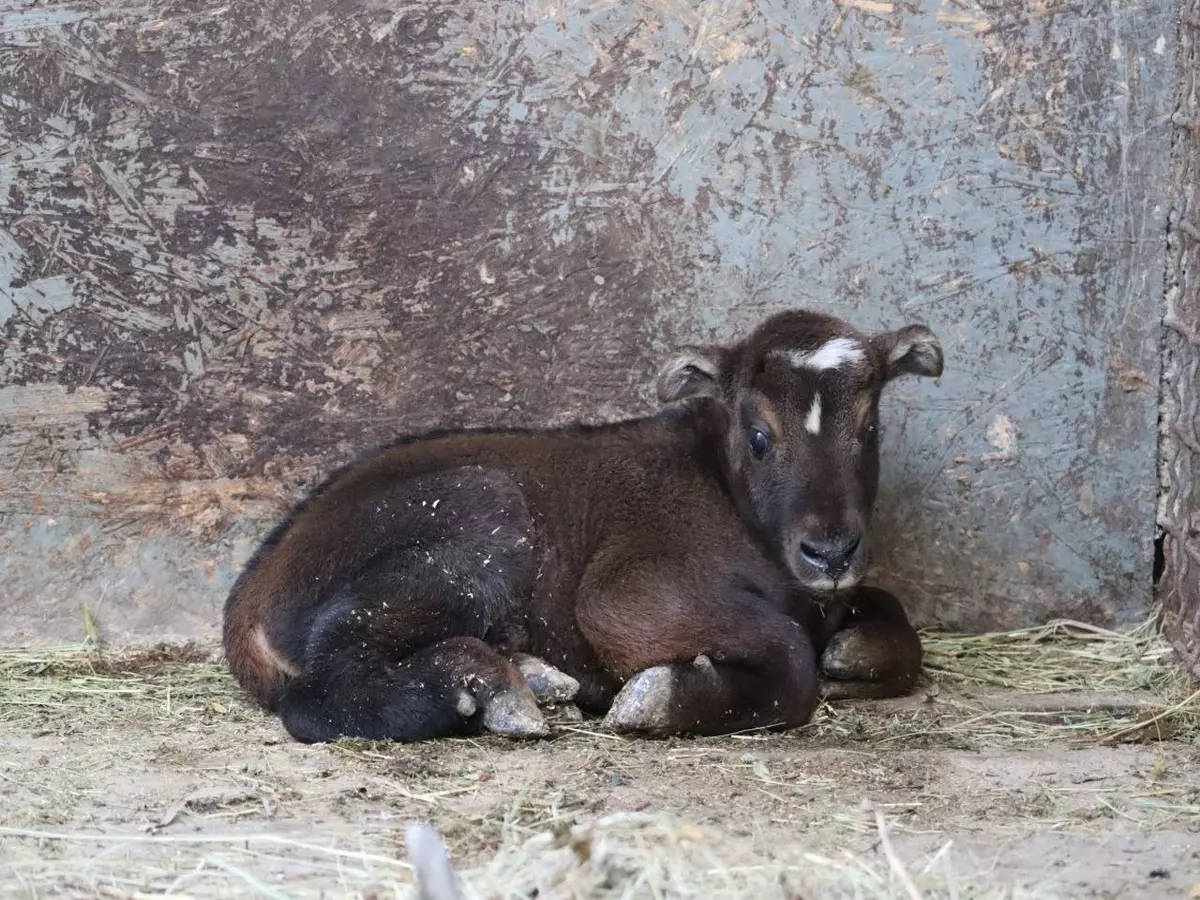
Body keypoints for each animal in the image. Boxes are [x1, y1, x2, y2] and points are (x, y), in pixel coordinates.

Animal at [223, 309, 936, 748]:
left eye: (870, 428)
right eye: (760, 437)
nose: (831, 552)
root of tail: (248, 603)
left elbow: (892, 622)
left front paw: (854, 653)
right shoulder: (626, 593)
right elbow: (792, 659)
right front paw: (658, 697)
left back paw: (529, 676)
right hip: (481, 511)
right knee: (317, 691)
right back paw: (484, 687)